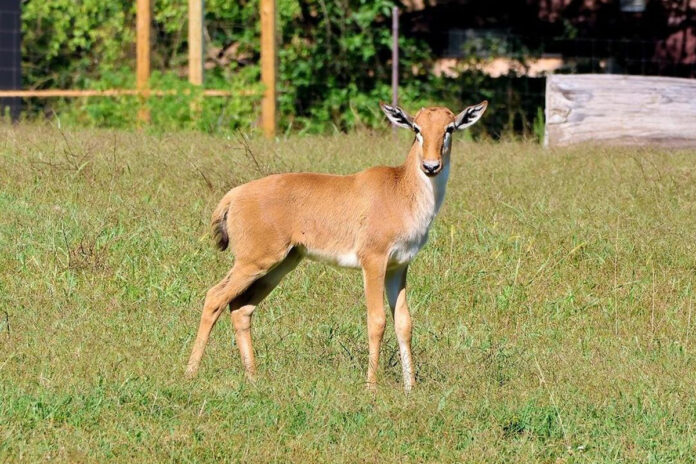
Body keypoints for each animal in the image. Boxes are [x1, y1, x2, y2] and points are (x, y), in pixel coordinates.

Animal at [188, 101, 486, 392]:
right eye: (417, 128)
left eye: (449, 128)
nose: (431, 166)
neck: (400, 189)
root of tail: (233, 196)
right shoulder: (373, 262)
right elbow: (377, 321)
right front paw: (370, 387)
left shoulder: (398, 267)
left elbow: (404, 323)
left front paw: (410, 389)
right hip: (254, 262)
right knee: (215, 297)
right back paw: (191, 373)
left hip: (281, 265)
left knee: (241, 308)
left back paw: (253, 378)